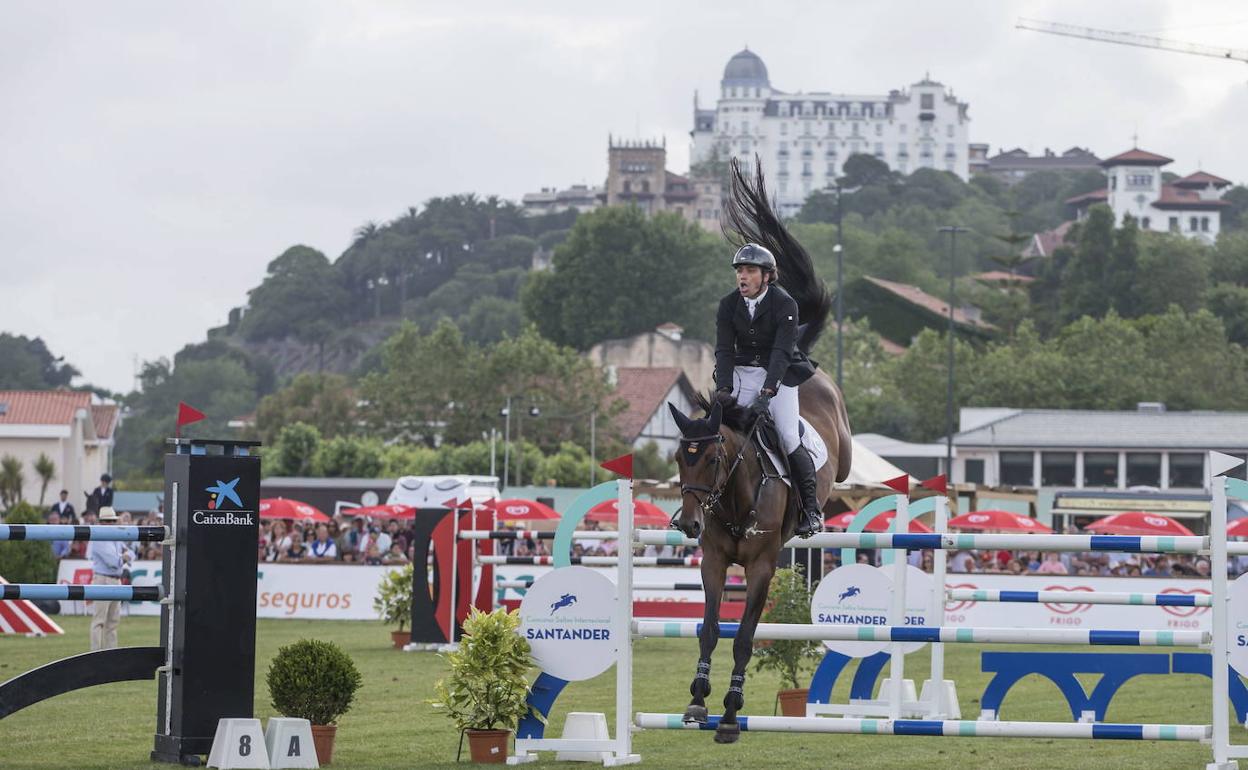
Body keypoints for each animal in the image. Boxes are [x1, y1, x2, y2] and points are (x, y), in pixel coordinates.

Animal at [668, 369, 853, 743]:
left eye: (712, 459)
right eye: (680, 460)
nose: (690, 524)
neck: (735, 495)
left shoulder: (761, 569)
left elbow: (743, 639)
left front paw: (730, 714)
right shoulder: (713, 564)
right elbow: (710, 630)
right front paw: (697, 701)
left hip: (843, 455)